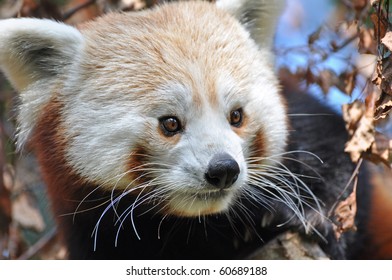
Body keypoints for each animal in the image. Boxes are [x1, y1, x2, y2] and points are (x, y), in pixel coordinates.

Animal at [0, 0, 382, 258]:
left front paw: (313, 217)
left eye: (237, 116)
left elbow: (339, 163)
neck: (201, 223)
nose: (224, 169)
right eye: (170, 123)